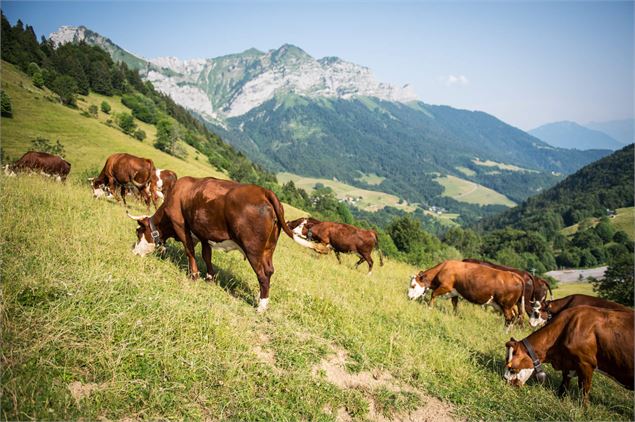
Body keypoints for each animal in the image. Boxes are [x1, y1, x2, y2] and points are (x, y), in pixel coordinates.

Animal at [126, 176, 310, 312]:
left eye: (138, 232)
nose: (133, 252)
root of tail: (264, 191)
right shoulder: (203, 234)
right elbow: (206, 256)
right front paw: (209, 278)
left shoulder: (180, 225)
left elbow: (189, 250)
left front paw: (194, 275)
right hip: (268, 249)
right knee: (270, 271)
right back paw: (260, 297)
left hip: (253, 249)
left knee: (263, 274)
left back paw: (261, 306)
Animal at [504, 304, 632, 404]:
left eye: (512, 369)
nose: (507, 383)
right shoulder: (568, 363)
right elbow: (564, 384)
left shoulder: (586, 364)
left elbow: (584, 390)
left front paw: (584, 411)